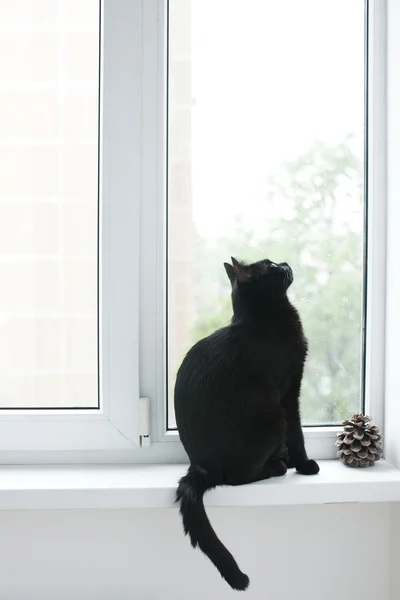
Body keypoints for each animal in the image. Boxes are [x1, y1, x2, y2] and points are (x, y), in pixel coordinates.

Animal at [174, 256, 318, 592]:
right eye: (271, 266)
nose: (285, 261)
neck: (260, 319)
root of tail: (201, 467)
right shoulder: (289, 392)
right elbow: (298, 433)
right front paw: (304, 464)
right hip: (273, 417)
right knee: (238, 477)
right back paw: (276, 466)